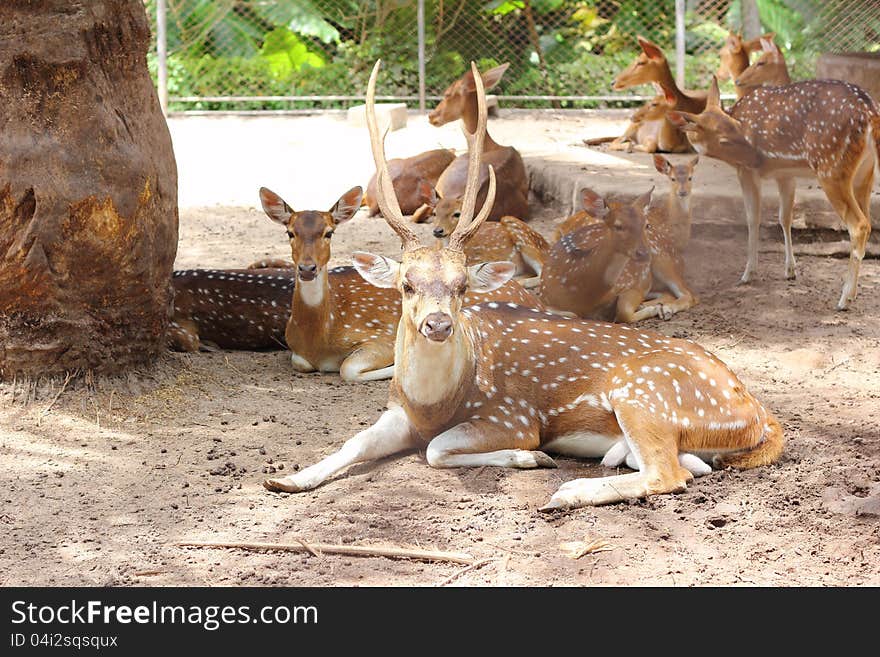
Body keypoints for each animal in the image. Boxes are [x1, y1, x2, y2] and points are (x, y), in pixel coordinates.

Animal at [262, 59, 784, 510]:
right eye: (406, 284)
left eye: (462, 286)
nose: (437, 325)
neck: (436, 403)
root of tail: (758, 413)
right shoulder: (397, 412)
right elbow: (353, 442)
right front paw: (286, 479)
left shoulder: (510, 414)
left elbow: (436, 449)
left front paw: (531, 456)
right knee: (692, 465)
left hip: (644, 394)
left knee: (667, 473)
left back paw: (565, 492)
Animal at [672, 77, 876, 310]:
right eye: (724, 139)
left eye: (739, 128)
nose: (758, 158)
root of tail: (870, 112)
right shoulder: (785, 174)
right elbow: (784, 217)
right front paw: (790, 270)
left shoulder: (746, 171)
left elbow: (753, 218)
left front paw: (748, 273)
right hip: (864, 173)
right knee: (868, 221)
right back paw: (854, 294)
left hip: (830, 168)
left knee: (859, 225)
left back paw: (844, 299)